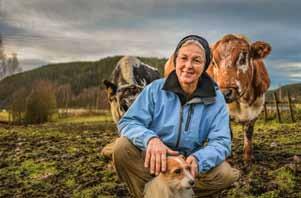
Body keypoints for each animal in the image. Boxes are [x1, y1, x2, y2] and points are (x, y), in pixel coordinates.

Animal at [165, 33, 270, 161]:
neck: (244, 102)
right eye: (214, 62)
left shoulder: (256, 109)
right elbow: (228, 133)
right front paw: (228, 155)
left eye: (243, 58)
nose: (224, 93)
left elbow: (248, 133)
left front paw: (248, 158)